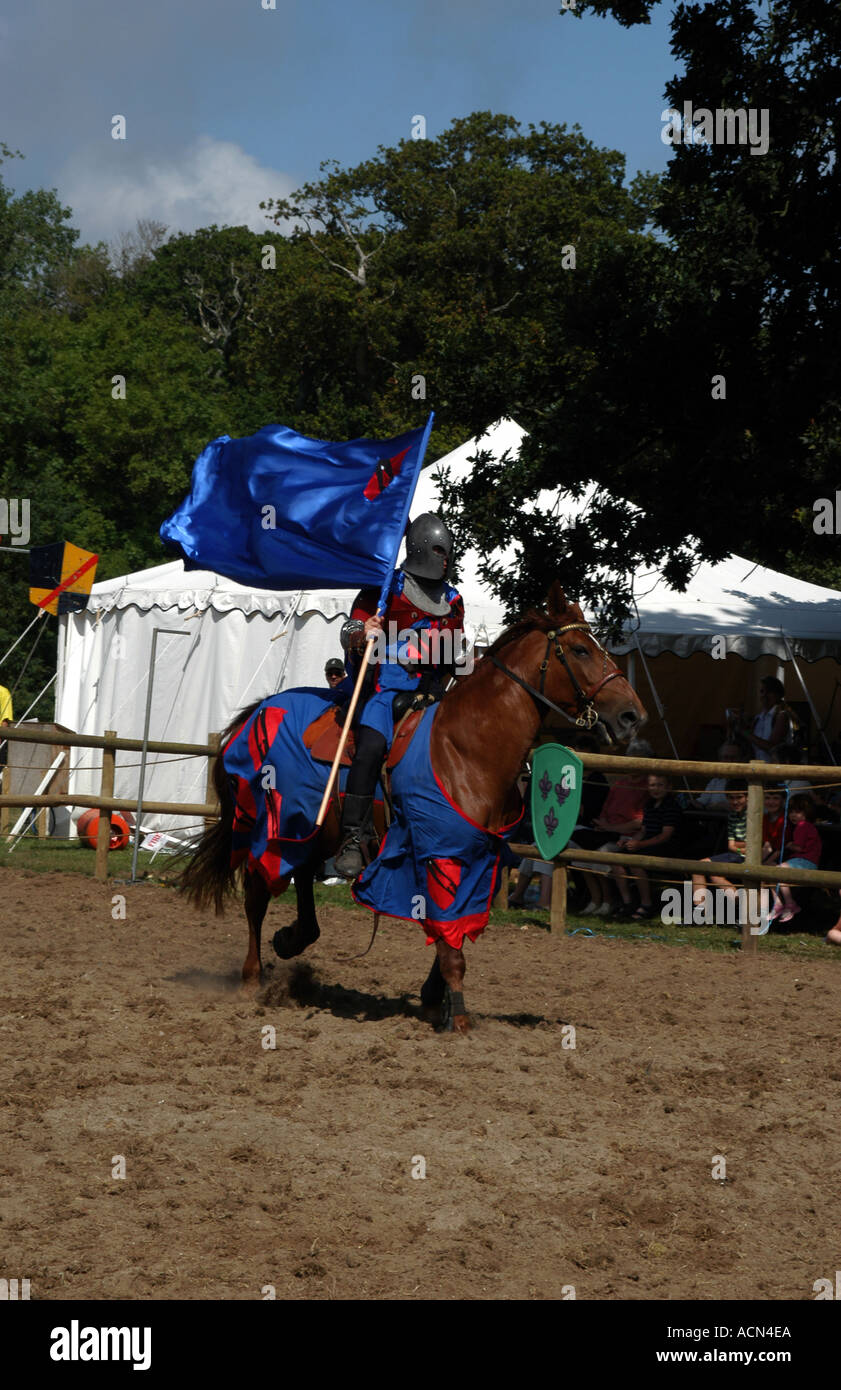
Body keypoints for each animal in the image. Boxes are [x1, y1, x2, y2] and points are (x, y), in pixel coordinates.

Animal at [180, 581, 644, 1028]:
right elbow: (449, 940)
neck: (466, 747)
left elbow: (454, 930)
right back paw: (251, 978)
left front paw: (435, 1000)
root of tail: (260, 709)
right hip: (269, 825)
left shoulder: (480, 860)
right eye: (581, 650)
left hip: (311, 827)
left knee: (303, 879)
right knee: (257, 896)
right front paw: (459, 1017)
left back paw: (292, 940)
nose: (632, 716)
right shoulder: (437, 852)